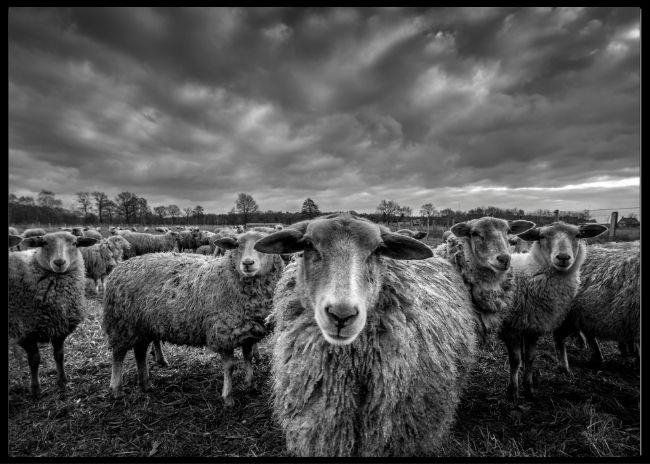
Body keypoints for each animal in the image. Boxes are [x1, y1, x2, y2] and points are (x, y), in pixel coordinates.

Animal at [8, 232, 97, 397]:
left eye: (75, 243)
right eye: (43, 243)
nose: (59, 262)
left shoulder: (60, 327)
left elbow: (59, 355)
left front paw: (62, 381)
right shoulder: (25, 331)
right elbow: (34, 360)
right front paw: (35, 389)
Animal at [102, 230, 285, 406]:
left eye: (261, 246)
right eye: (237, 246)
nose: (247, 263)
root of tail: (119, 268)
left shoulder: (247, 330)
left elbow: (248, 358)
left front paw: (250, 384)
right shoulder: (222, 333)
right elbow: (230, 367)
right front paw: (228, 397)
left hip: (142, 325)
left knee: (140, 352)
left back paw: (146, 384)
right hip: (122, 324)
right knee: (118, 355)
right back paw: (117, 389)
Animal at [498, 222, 608, 401]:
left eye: (578, 235)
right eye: (542, 236)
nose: (563, 257)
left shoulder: (533, 326)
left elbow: (530, 358)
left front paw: (529, 389)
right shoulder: (511, 328)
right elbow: (515, 360)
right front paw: (512, 391)